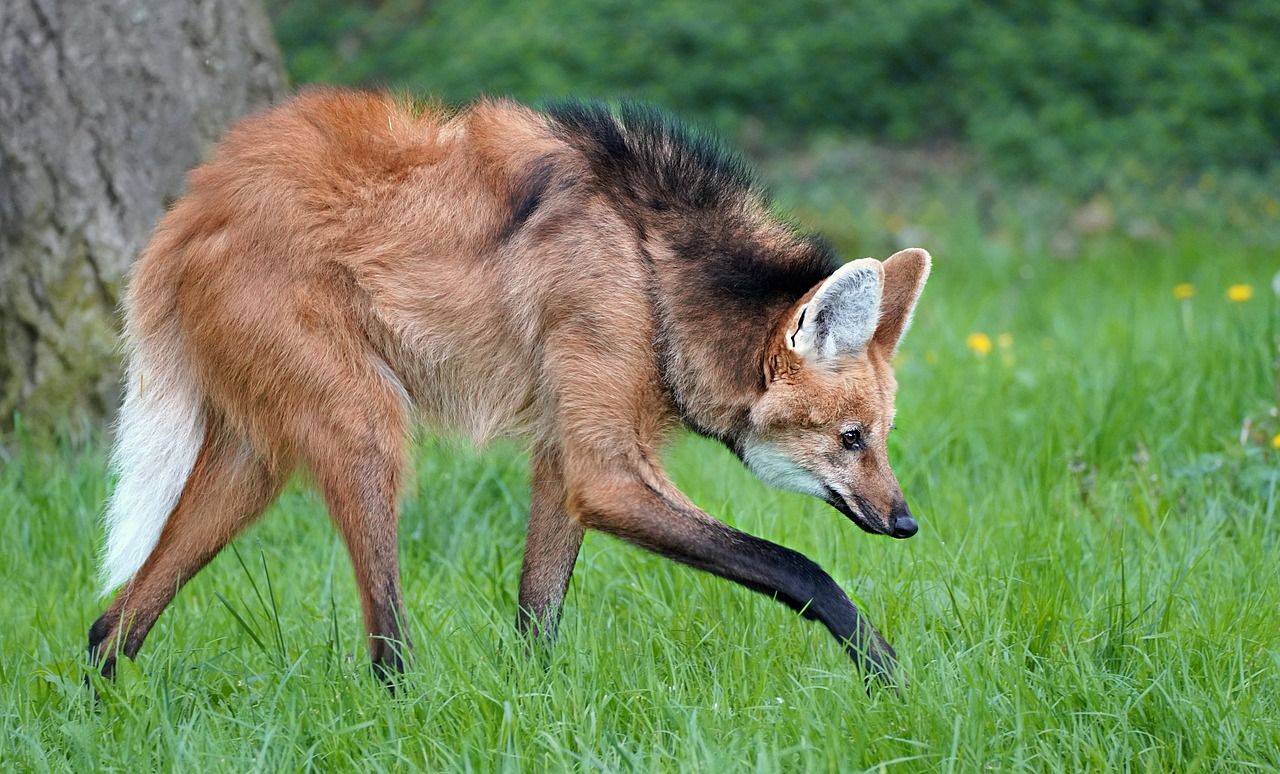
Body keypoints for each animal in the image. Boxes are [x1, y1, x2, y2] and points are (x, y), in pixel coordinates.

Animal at [88, 88, 931, 685]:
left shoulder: (566, 458)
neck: (653, 269)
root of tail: (198, 201)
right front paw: (886, 672)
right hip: (363, 425)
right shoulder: (604, 469)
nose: (906, 522)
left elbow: (538, 613)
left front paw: (530, 709)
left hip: (253, 456)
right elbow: (801, 567)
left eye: (883, 438)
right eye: (850, 438)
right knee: (384, 647)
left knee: (111, 626)